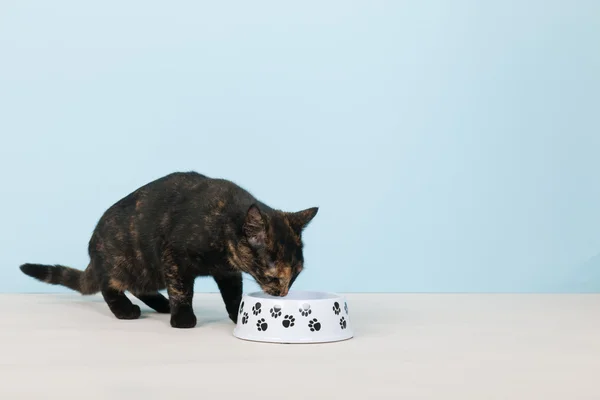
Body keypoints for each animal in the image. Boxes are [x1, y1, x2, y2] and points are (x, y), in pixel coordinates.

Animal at [18, 172, 318, 328]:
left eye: (296, 274)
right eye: (272, 274)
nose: (283, 293)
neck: (223, 222)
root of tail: (93, 250)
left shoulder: (228, 272)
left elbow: (234, 294)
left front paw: (239, 315)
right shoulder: (174, 258)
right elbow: (182, 290)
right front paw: (183, 318)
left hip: (147, 269)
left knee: (140, 287)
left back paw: (161, 304)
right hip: (123, 262)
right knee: (110, 287)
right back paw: (126, 310)